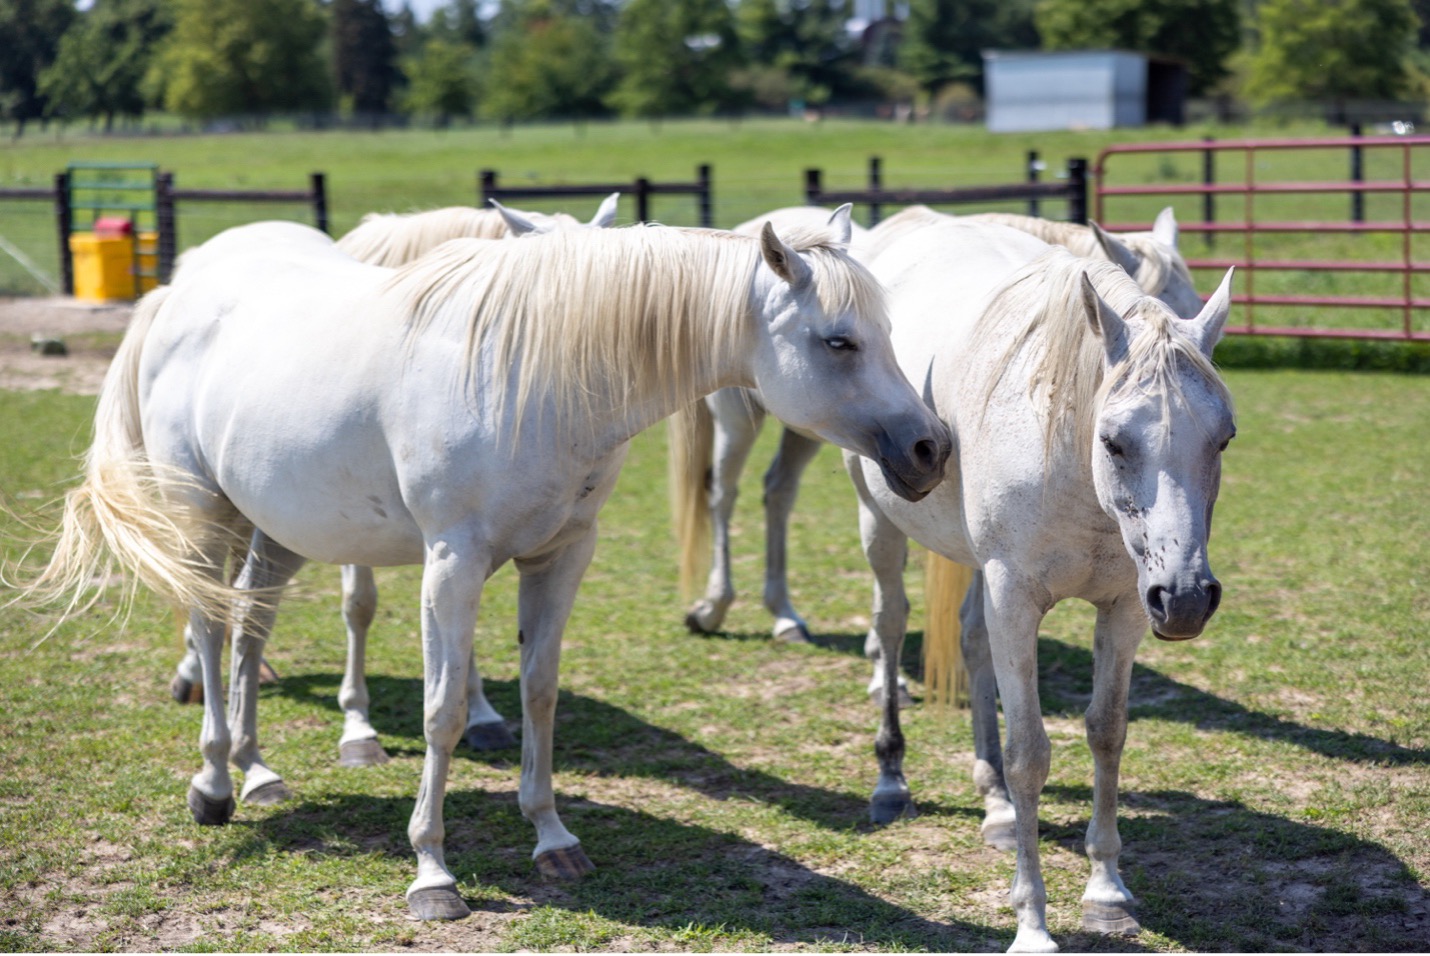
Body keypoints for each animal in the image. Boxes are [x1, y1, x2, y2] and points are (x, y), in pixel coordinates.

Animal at [25, 210, 949, 914]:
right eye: (839, 341)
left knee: (251, 626)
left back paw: (258, 772)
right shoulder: (453, 563)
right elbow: (441, 713)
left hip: (279, 526)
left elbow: (539, 692)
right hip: (202, 516)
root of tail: (176, 293)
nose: (931, 448)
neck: (537, 377)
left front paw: (552, 837)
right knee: (214, 634)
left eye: (887, 331)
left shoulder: (561, 557)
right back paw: (216, 782)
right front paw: (432, 871)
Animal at [840, 218, 1235, 954]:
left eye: (1223, 438)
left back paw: (995, 806)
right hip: (881, 525)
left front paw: (1107, 892)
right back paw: (890, 780)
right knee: (889, 625)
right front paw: (1032, 924)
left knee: (970, 645)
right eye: (1114, 441)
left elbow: (1107, 733)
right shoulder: (1016, 600)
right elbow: (1030, 753)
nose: (1188, 599)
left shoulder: (1124, 608)